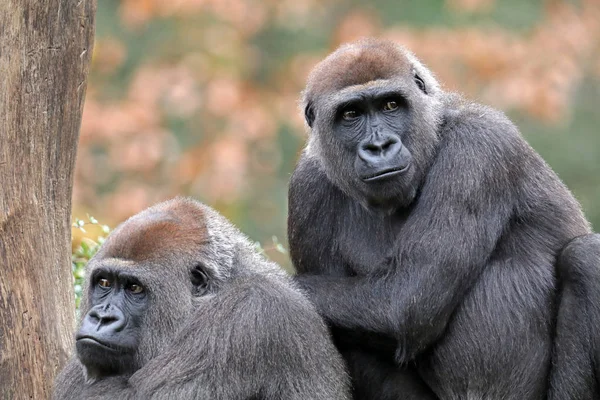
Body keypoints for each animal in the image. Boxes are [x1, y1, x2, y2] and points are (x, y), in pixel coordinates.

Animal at [290, 38, 596, 400]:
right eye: (351, 114)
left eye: (391, 105)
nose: (379, 146)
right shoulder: (306, 188)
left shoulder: (477, 145)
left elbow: (404, 301)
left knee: (586, 257)